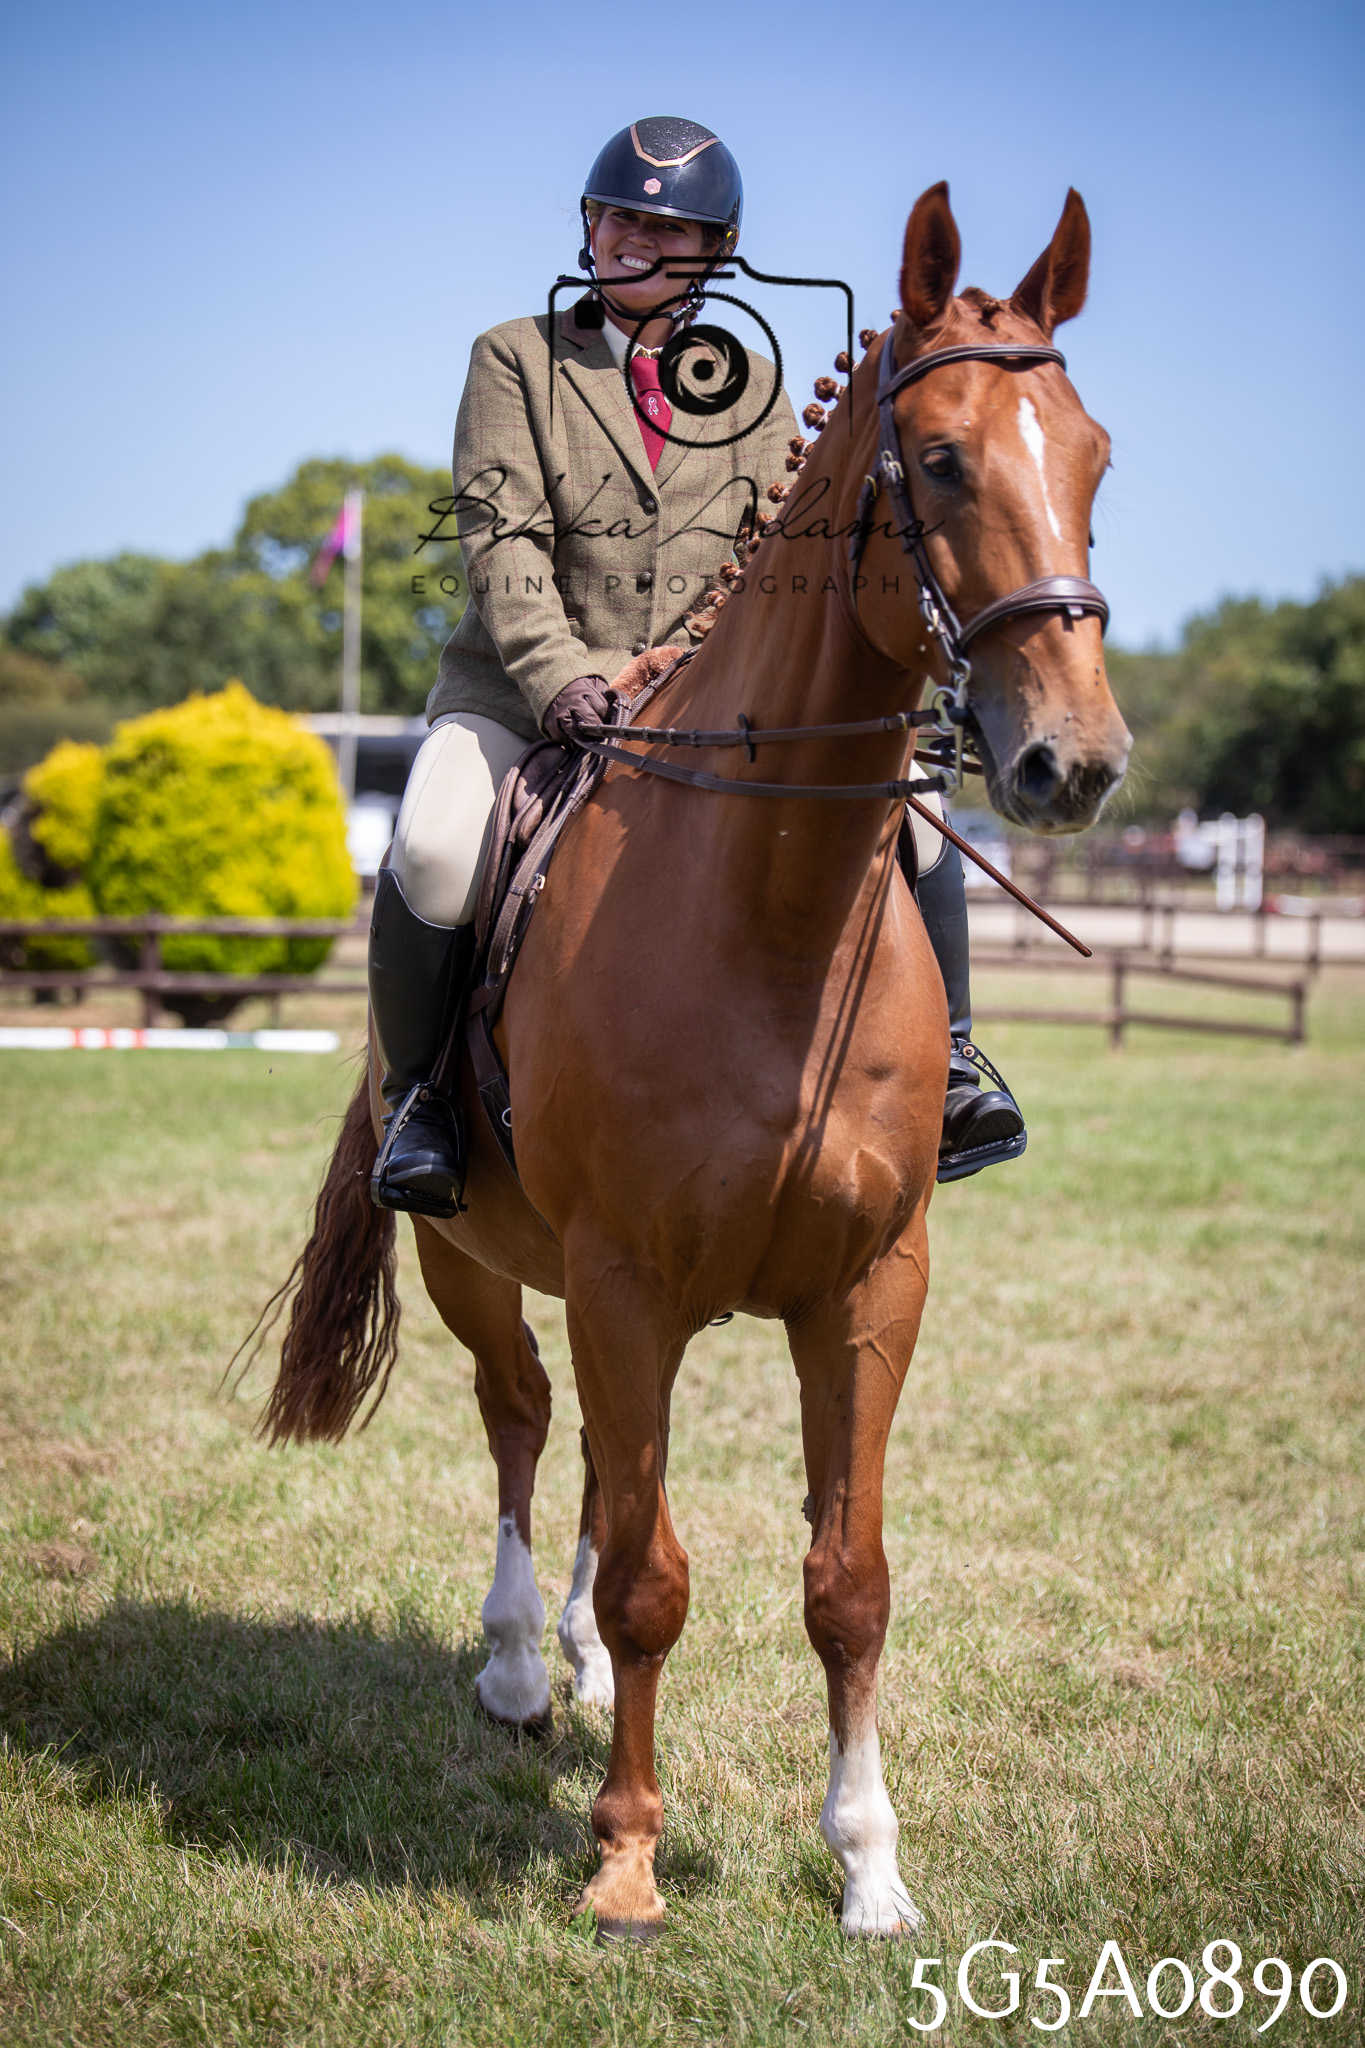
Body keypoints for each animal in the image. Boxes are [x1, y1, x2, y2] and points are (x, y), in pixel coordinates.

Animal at [259, 182, 1131, 1940]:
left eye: (1094, 457)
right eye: (942, 463)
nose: (1070, 762)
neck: (769, 916)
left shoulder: (870, 1287)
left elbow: (847, 1581)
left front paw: (868, 1867)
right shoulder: (623, 1277)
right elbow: (659, 1574)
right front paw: (626, 1862)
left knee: (601, 1464)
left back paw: (577, 1669)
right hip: (479, 1260)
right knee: (527, 1425)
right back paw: (524, 1667)